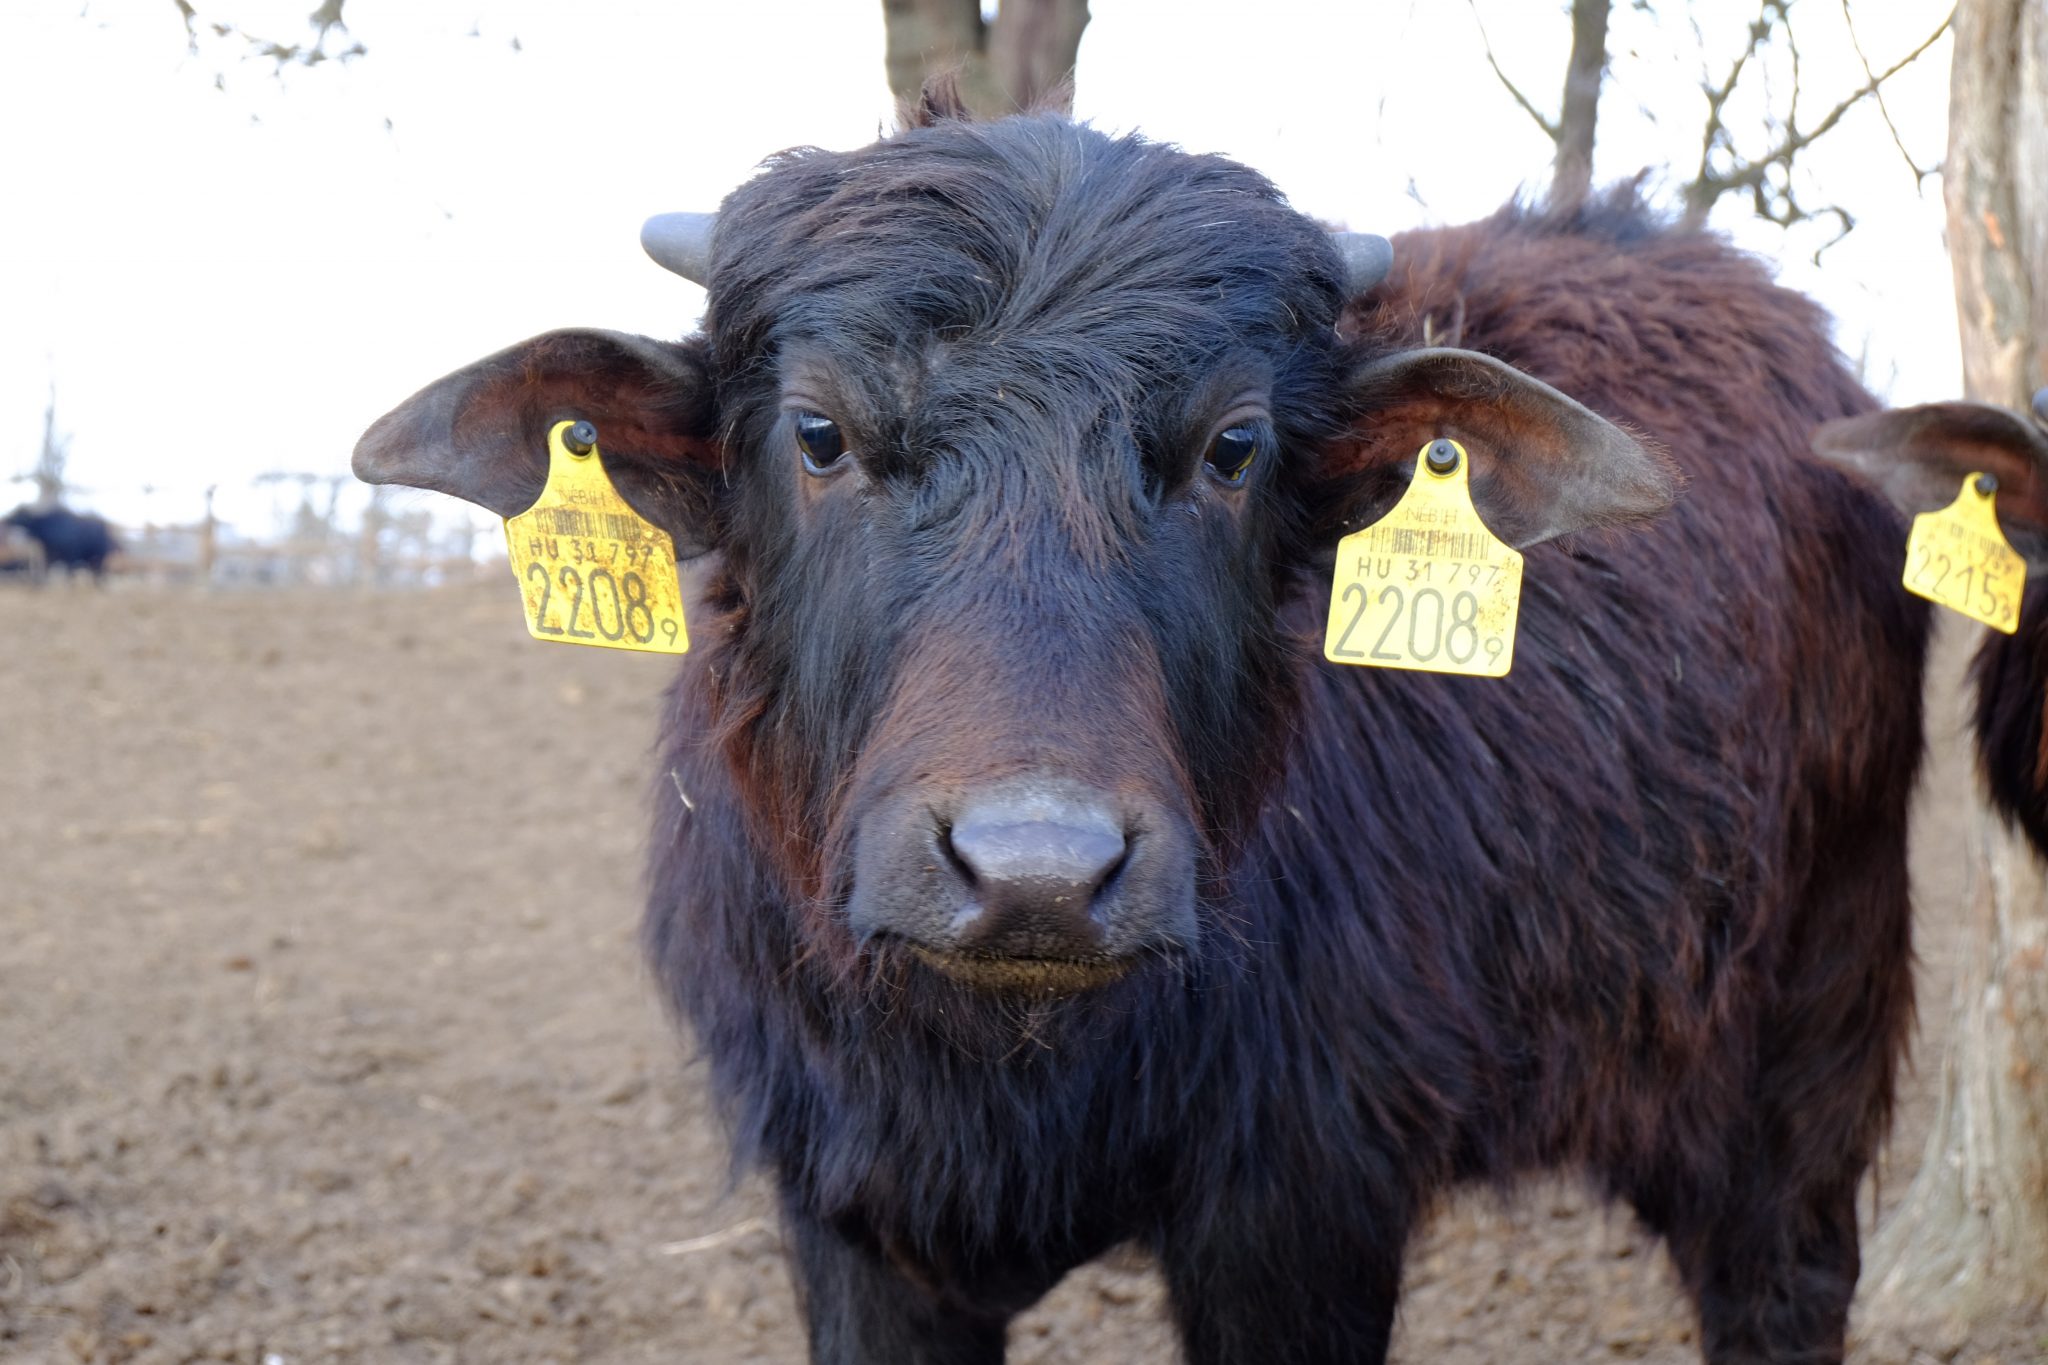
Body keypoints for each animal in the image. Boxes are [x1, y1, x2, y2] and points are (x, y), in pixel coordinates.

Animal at [356, 98, 1933, 1365]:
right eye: (818, 434)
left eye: (1231, 448)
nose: (1036, 875)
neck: (1009, 1069)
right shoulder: (852, 1219)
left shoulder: (1301, 1216)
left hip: (1805, 1035)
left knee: (1781, 1282)